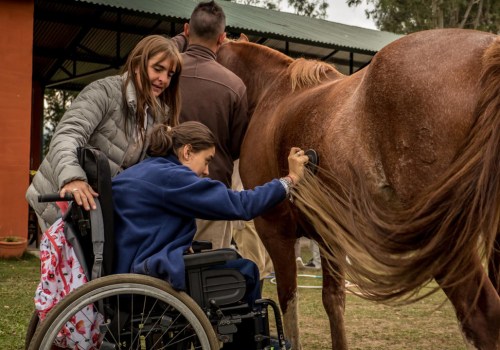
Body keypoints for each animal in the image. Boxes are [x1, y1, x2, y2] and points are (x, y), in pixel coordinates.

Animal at [218, 30, 500, 350]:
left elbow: (288, 306)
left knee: (482, 317)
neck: (274, 95)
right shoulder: (329, 237)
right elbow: (333, 301)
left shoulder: (274, 230)